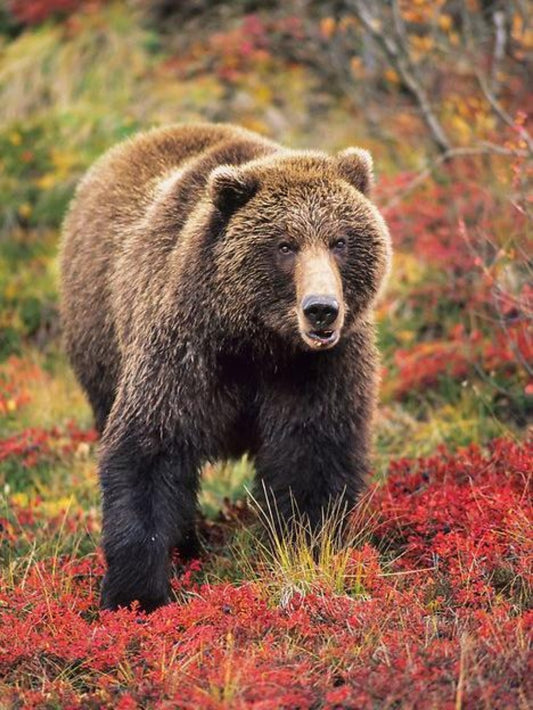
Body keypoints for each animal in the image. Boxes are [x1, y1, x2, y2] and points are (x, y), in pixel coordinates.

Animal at [59, 122, 392, 612]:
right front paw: (136, 594)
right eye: (285, 244)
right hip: (99, 341)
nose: (321, 310)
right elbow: (151, 447)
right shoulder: (188, 349)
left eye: (340, 241)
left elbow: (313, 455)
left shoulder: (318, 369)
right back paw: (188, 543)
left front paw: (306, 552)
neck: (258, 340)